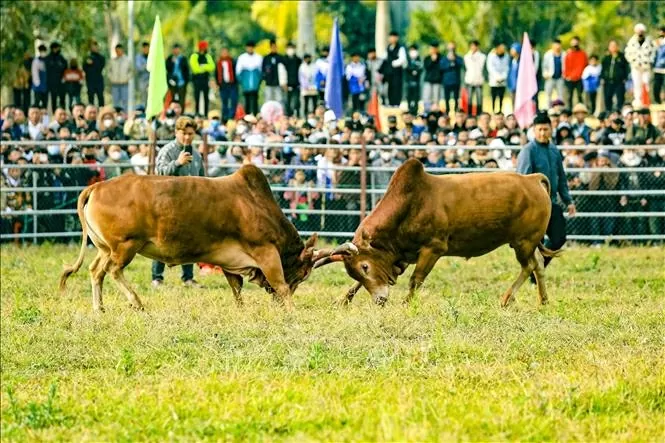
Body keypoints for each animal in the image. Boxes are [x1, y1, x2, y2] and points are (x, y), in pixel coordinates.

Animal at [59, 164, 356, 312]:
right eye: (303, 273)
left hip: (104, 248)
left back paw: (99, 308)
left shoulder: (230, 262)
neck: (256, 204)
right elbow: (280, 284)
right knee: (113, 271)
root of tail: (97, 186)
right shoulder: (265, 252)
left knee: (96, 271)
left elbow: (236, 288)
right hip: (125, 246)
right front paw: (291, 310)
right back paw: (136, 302)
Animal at [314, 160, 556, 308]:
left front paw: (406, 304)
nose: (380, 300)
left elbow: (416, 280)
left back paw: (507, 298)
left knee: (529, 266)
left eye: (365, 266)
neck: (410, 203)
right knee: (539, 265)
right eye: (355, 272)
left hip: (523, 242)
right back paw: (543, 300)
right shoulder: (402, 256)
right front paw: (343, 300)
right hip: (527, 243)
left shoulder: (433, 249)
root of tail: (532, 179)